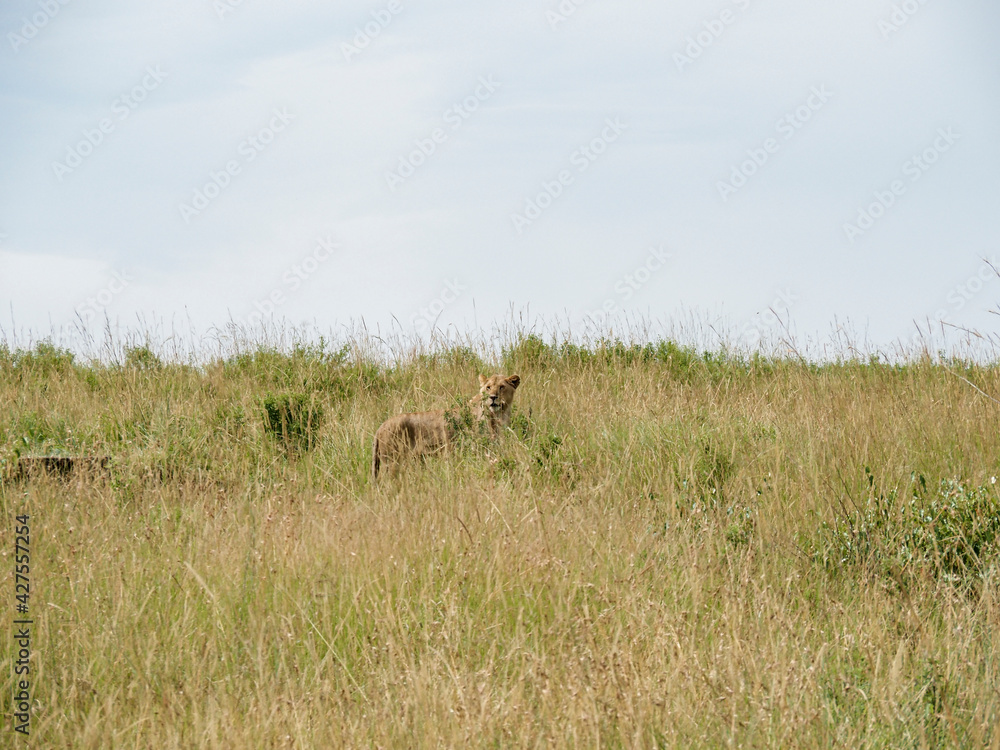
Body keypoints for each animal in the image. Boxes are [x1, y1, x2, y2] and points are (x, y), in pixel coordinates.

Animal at [371, 373, 521, 479]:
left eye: (501, 387)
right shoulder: (478, 449)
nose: (493, 397)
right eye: (488, 387)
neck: (499, 414)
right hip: (392, 462)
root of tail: (380, 427)